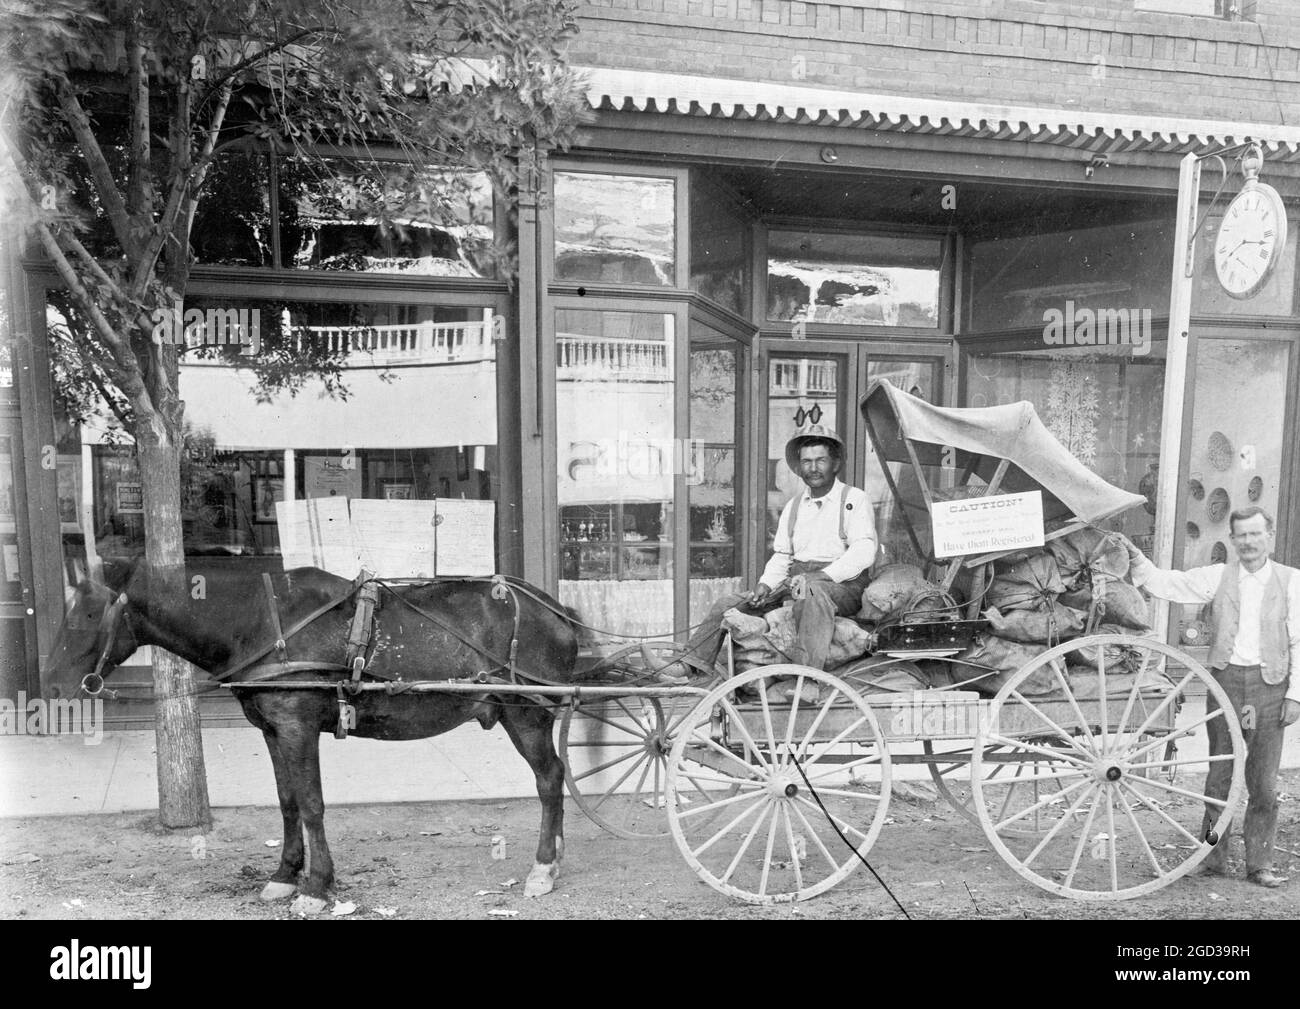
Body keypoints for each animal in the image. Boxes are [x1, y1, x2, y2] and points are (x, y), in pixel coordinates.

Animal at [44, 559, 585, 915]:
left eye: (86, 615)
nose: (49, 685)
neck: (258, 622)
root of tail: (556, 609)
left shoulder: (298, 726)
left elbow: (311, 804)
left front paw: (317, 886)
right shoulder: (272, 729)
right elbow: (287, 802)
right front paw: (286, 875)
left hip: (525, 716)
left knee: (549, 780)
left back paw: (542, 866)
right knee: (554, 779)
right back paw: (557, 854)